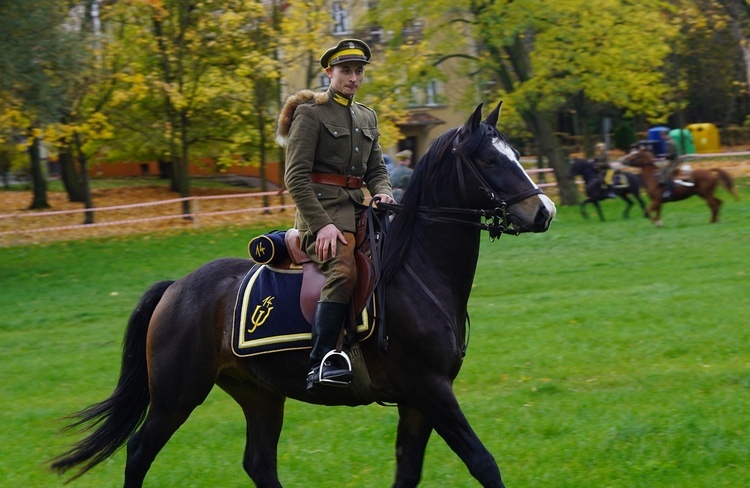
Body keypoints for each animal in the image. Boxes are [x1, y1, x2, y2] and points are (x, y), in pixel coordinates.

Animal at [50, 101, 556, 486]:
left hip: (259, 395)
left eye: (514, 153)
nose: (545, 211)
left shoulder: (418, 401)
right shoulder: (430, 389)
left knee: (258, 462)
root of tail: (176, 287)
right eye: (490, 160)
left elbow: (408, 472)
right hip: (177, 395)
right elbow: (483, 463)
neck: (416, 272)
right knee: (139, 451)